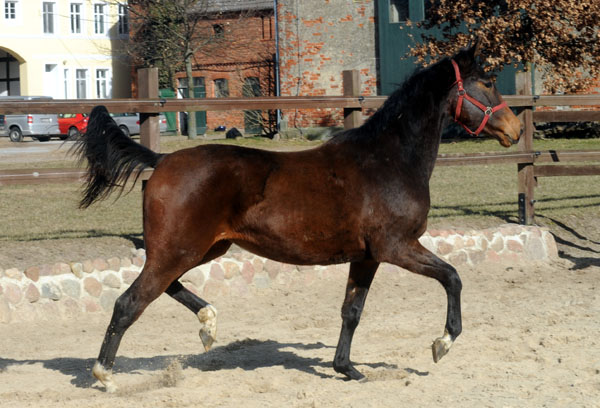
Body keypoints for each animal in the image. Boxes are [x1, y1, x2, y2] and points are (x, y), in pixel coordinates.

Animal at [74, 42, 520, 392]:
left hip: (204, 248)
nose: (514, 129)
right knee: (129, 303)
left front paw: (347, 369)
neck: (388, 160)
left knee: (164, 287)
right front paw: (442, 343)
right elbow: (452, 277)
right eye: (488, 82)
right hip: (179, 250)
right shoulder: (397, 246)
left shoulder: (367, 256)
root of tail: (161, 159)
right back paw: (105, 375)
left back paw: (208, 325)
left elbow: (352, 311)